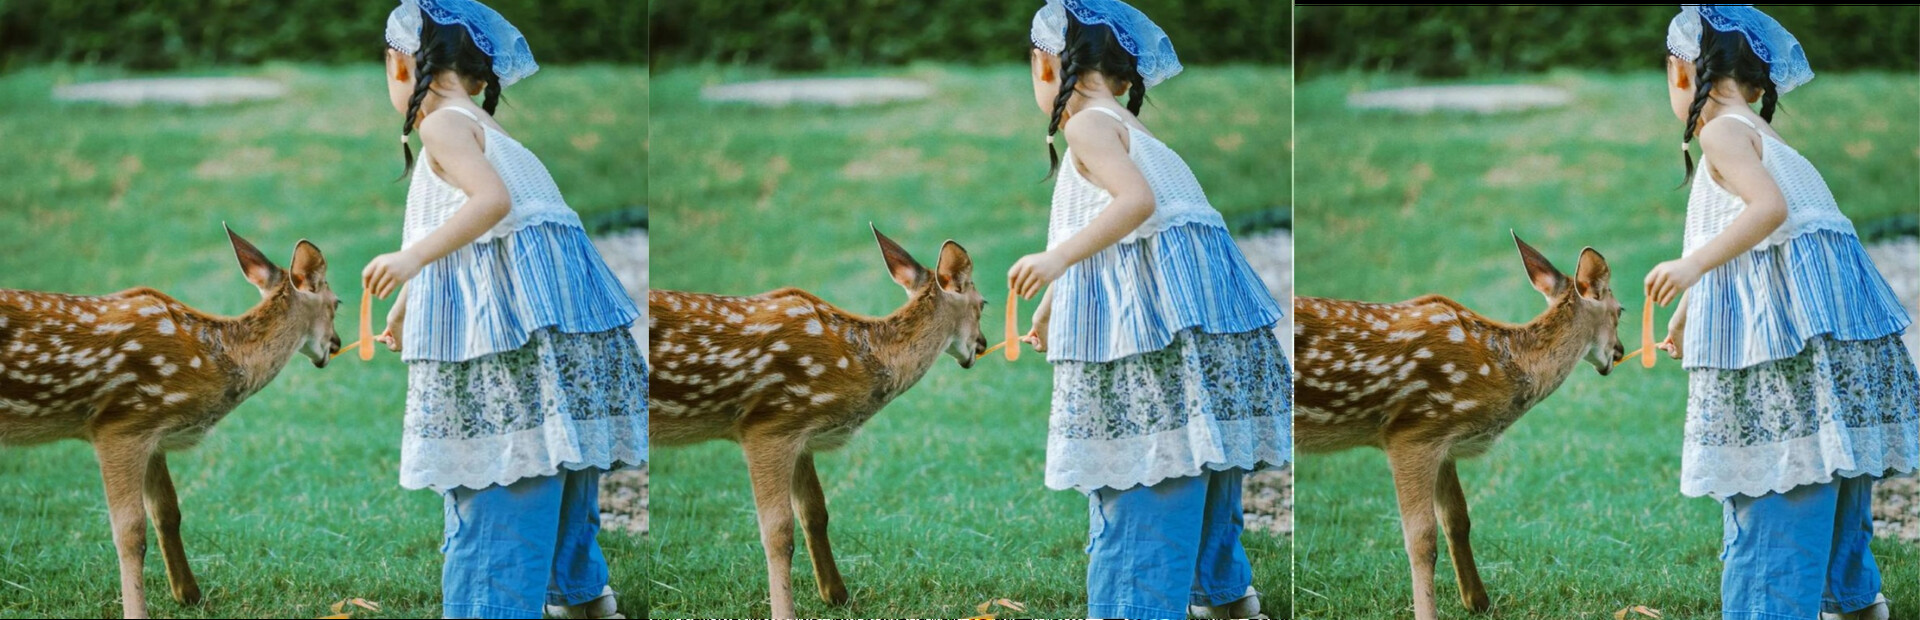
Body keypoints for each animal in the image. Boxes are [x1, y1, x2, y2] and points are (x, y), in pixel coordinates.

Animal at [0, 225, 341, 619]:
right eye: (338, 303)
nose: (336, 344)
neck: (212, 359)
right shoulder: (121, 424)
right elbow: (130, 531)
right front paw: (138, 611)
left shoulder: (154, 432)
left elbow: (167, 512)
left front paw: (189, 594)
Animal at [648, 226, 987, 619]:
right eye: (983, 304)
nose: (982, 345)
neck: (859, 359)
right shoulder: (769, 424)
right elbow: (777, 532)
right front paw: (785, 611)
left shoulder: (801, 433)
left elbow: (815, 512)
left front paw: (836, 594)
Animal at [1293, 233, 1624, 620]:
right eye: (1621, 311)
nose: (1619, 352)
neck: (1500, 366)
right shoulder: (1413, 431)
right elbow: (1421, 538)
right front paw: (1428, 612)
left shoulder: (1443, 440)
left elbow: (1457, 519)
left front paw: (1478, 601)